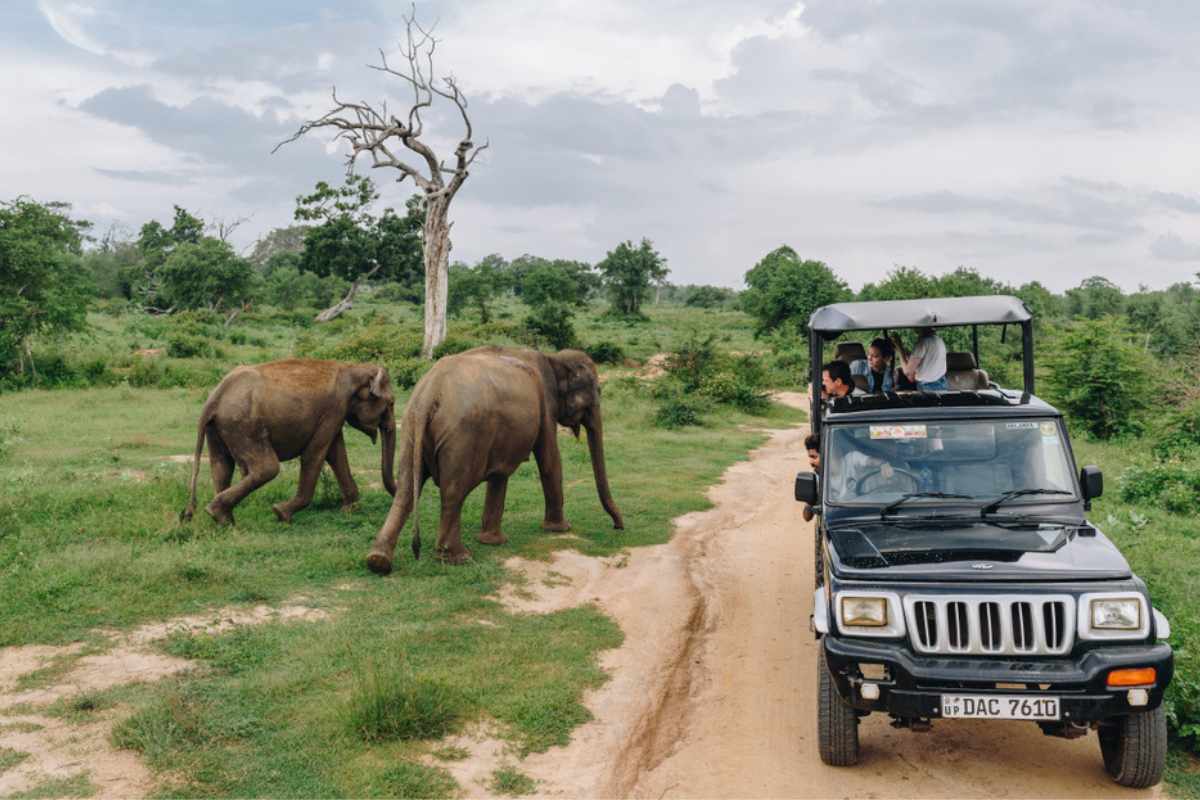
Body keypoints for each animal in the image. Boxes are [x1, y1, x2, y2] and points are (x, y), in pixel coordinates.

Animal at [181, 358, 397, 525]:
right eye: (391, 403)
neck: (353, 368)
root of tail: (214, 397)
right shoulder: (334, 409)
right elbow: (315, 454)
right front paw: (280, 513)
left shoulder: (335, 414)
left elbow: (336, 453)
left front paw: (349, 510)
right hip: (243, 425)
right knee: (267, 468)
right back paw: (217, 514)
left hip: (219, 426)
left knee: (221, 466)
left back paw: (225, 521)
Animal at [365, 346, 623, 574]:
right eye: (597, 391)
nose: (617, 526)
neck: (553, 357)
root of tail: (430, 392)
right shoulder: (545, 406)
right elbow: (549, 460)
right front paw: (560, 529)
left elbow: (500, 474)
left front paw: (492, 541)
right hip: (464, 435)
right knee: (453, 491)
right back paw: (459, 558)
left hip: (412, 427)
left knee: (406, 488)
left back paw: (378, 561)